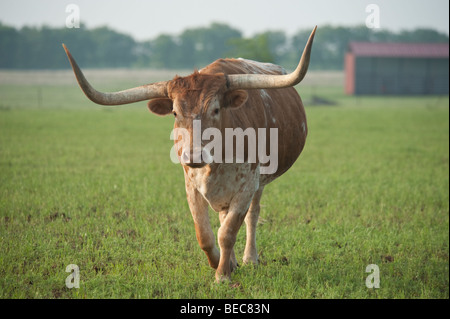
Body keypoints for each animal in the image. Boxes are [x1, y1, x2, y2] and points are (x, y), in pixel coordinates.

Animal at [62, 26, 316, 282]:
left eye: (216, 109)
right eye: (175, 112)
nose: (194, 156)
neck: (218, 160)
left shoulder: (247, 185)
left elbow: (228, 232)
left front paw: (222, 276)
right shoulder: (191, 185)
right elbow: (205, 235)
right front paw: (220, 263)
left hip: (260, 182)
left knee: (251, 216)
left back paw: (249, 259)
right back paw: (233, 260)